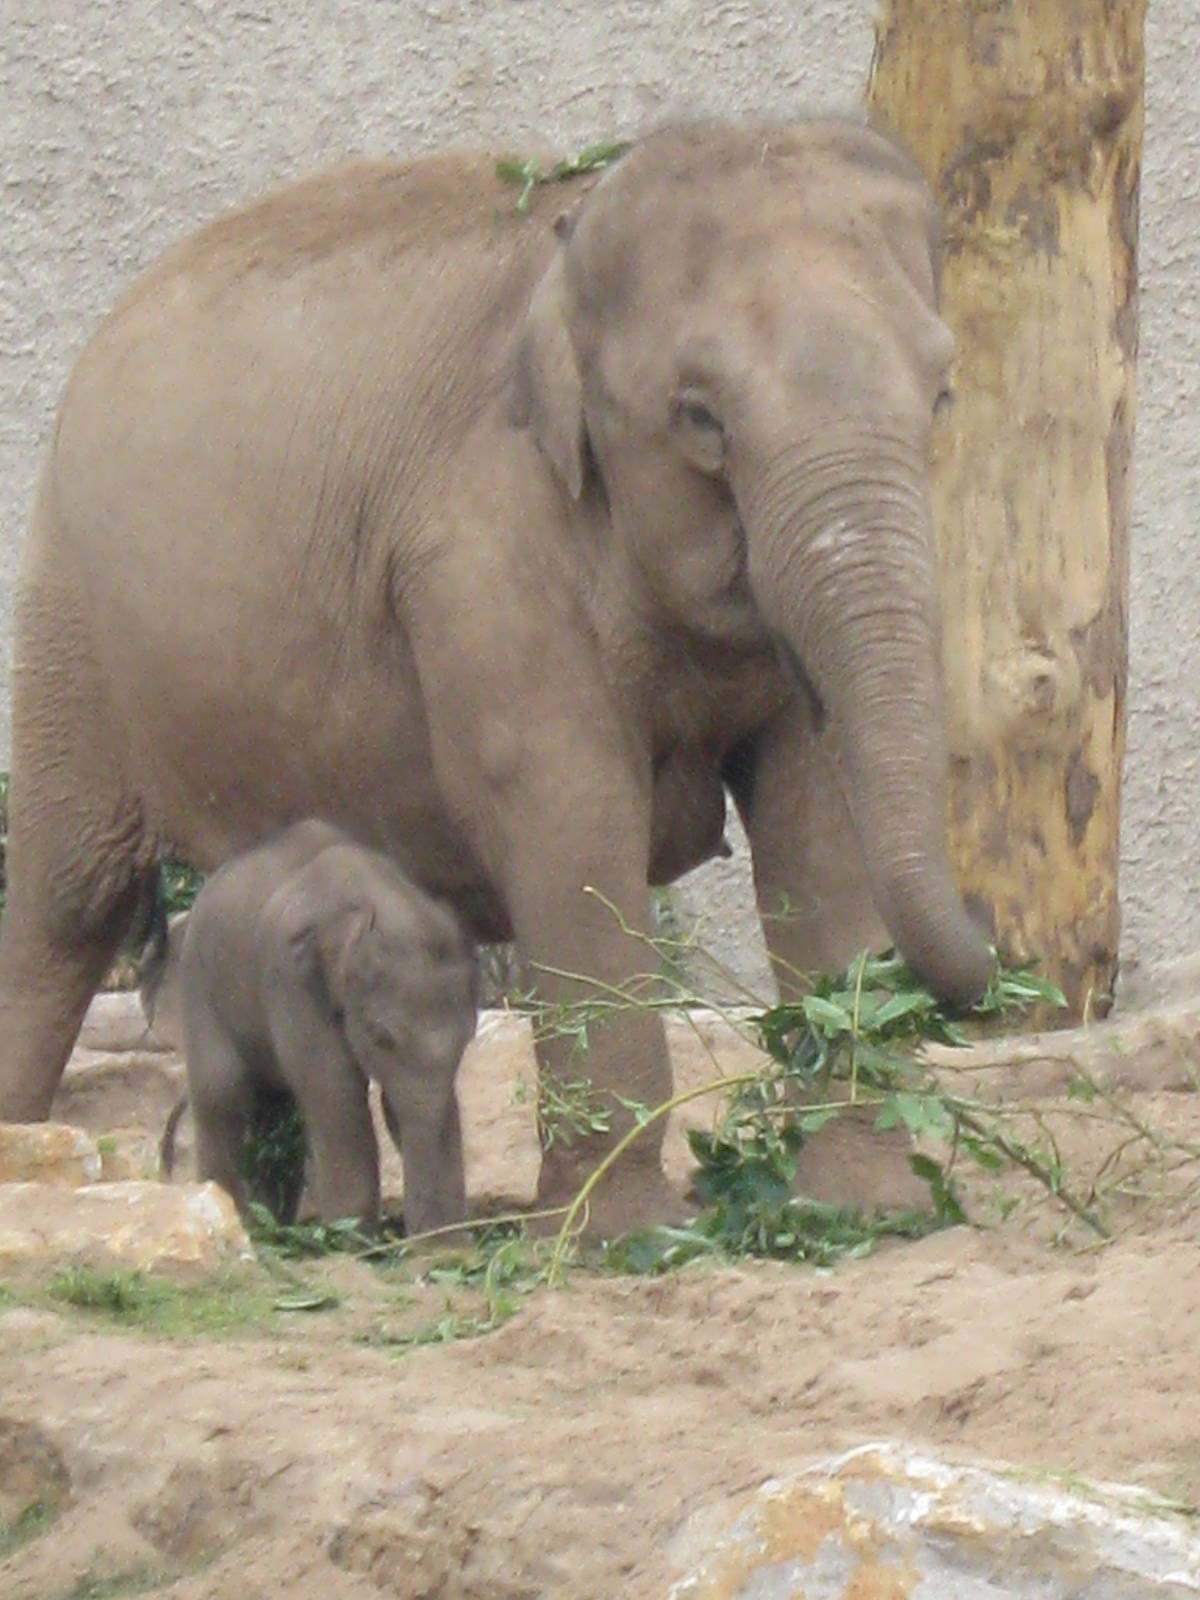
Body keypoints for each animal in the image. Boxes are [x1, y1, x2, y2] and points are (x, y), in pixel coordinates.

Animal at [147, 819, 478, 1231]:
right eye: (381, 1036)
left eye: (469, 1036)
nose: (435, 1244)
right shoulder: (291, 981)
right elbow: (335, 1091)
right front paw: (349, 1237)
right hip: (200, 985)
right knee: (222, 1094)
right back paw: (233, 1215)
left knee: (275, 1110)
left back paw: (275, 1228)